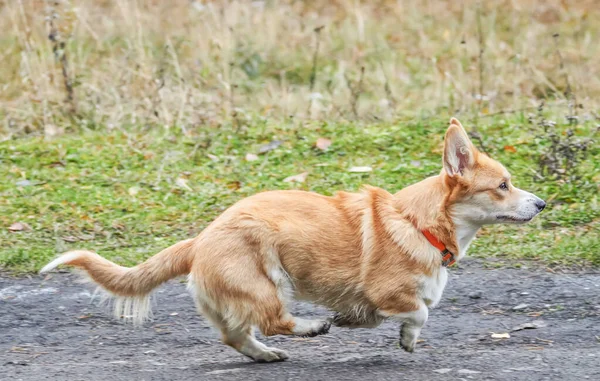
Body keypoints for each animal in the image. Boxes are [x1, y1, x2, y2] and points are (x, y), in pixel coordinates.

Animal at [39, 119, 544, 362]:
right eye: (503, 186)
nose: (540, 204)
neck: (420, 220)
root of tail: (200, 239)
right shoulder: (391, 293)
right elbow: (418, 312)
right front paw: (397, 336)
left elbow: (395, 316)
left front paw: (364, 325)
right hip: (270, 280)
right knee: (274, 320)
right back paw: (310, 327)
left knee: (235, 334)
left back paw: (267, 356)